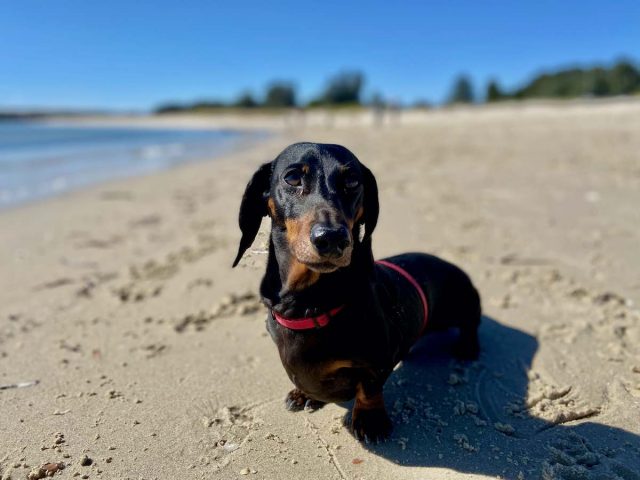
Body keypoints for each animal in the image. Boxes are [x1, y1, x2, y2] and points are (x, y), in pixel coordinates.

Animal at [231, 142, 480, 442]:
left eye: (352, 182)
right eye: (292, 178)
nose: (332, 238)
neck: (308, 304)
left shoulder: (376, 361)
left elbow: (370, 387)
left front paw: (370, 419)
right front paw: (304, 394)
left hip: (464, 303)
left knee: (471, 323)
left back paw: (468, 346)